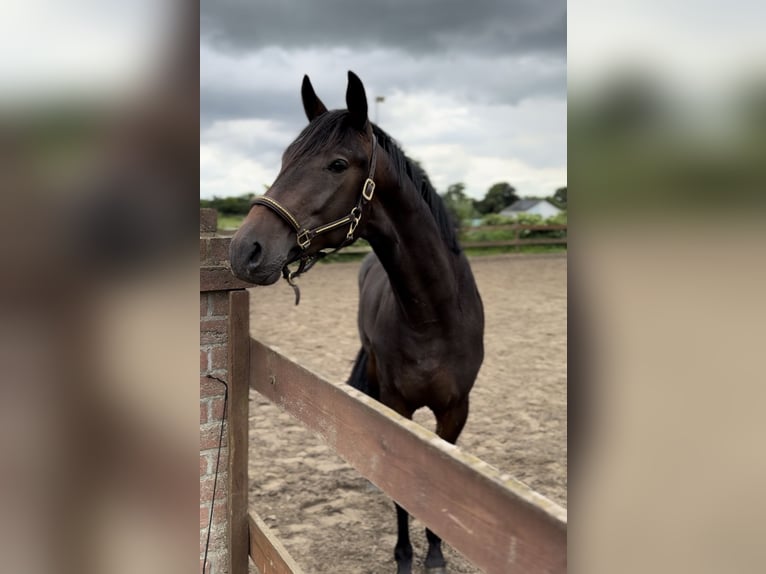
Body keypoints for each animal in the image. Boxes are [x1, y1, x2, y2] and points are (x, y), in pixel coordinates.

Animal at [226, 72, 486, 574]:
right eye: (284, 159)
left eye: (337, 164)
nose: (245, 250)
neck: (434, 318)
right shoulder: (397, 407)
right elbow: (403, 495)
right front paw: (404, 556)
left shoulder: (455, 410)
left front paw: (435, 555)